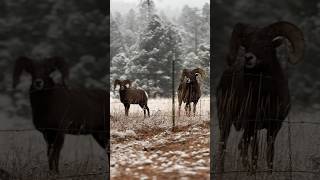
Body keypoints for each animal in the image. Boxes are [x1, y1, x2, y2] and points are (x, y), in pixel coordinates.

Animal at [216, 21, 304, 176]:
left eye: (265, 45)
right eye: (246, 44)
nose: (248, 58)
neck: (266, 95)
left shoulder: (274, 126)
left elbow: (269, 152)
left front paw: (268, 173)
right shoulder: (253, 124)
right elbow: (255, 151)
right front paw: (254, 172)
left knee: (241, 145)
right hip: (225, 120)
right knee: (226, 145)